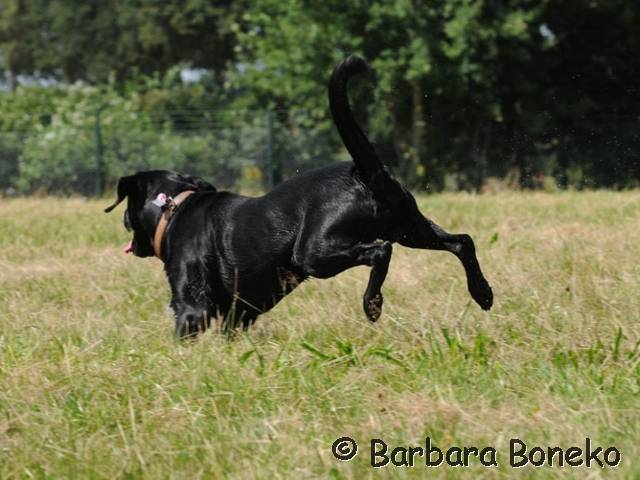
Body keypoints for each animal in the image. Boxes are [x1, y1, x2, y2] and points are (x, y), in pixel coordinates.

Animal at [106, 57, 496, 338]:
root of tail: (363, 172)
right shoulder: (238, 313)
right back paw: (483, 293)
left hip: (315, 253)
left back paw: (372, 304)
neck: (173, 209)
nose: (124, 224)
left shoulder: (191, 307)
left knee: (381, 251)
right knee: (461, 241)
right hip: (409, 226)